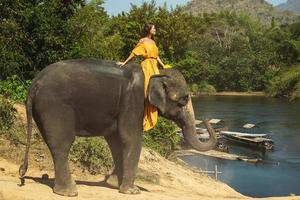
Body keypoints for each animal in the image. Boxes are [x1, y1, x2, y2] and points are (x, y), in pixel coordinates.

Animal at [18, 58, 216, 196]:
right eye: (184, 99)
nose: (207, 120)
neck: (155, 72)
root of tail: (34, 84)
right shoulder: (133, 101)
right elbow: (130, 138)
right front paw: (132, 191)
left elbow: (115, 141)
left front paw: (114, 184)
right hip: (55, 105)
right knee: (62, 144)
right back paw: (69, 192)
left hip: (42, 109)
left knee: (54, 143)